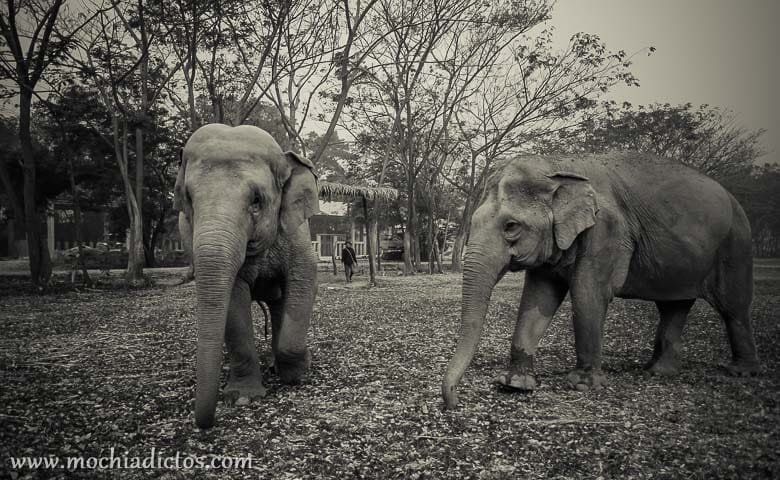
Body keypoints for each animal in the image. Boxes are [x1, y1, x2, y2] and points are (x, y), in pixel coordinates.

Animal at [175, 124, 319, 428]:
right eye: (189, 199)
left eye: (256, 200)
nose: (204, 424)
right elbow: (233, 301)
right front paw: (242, 397)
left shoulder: (297, 232)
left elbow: (304, 281)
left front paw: (298, 371)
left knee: (279, 304)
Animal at [442, 152, 759, 409]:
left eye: (511, 226)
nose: (453, 402)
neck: (559, 166)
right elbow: (537, 297)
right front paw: (515, 384)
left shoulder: (607, 230)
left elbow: (588, 293)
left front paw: (581, 385)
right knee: (673, 306)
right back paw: (658, 371)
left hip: (736, 244)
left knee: (732, 307)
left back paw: (740, 372)